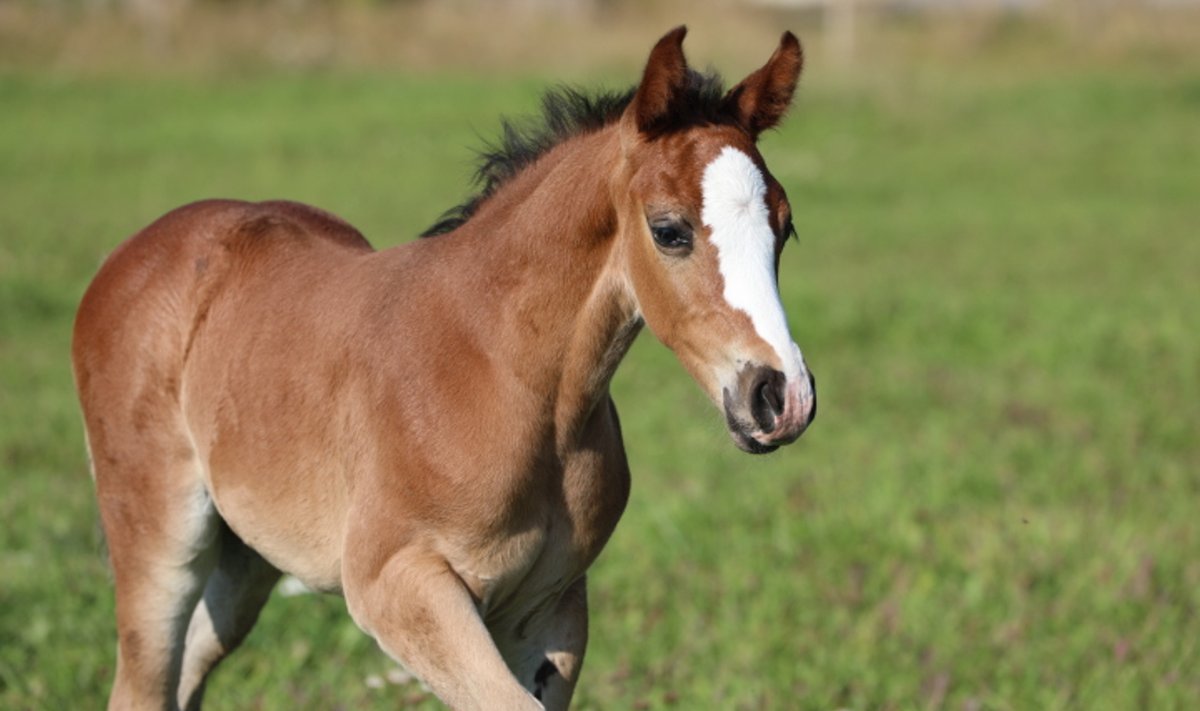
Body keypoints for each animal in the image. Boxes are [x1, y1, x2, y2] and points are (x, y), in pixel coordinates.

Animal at [72, 27, 816, 711]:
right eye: (668, 230)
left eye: (785, 227)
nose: (781, 396)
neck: (508, 377)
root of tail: (134, 251)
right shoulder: (396, 584)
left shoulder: (549, 607)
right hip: (159, 533)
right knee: (142, 679)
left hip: (247, 553)